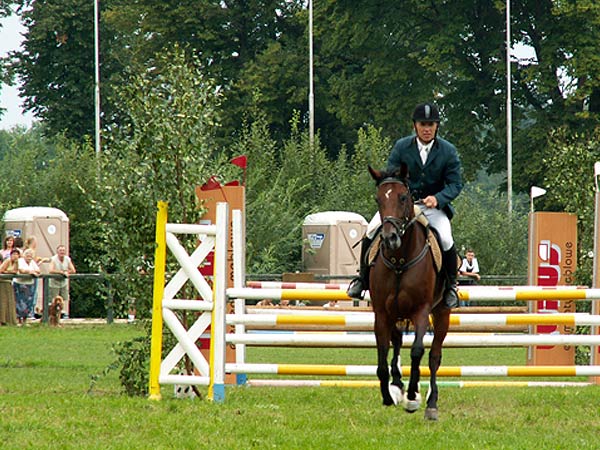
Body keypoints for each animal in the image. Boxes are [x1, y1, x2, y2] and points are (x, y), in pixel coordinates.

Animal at [368, 163, 448, 420]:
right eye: (378, 199)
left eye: (403, 197)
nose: (389, 238)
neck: (400, 259)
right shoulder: (382, 313)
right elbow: (383, 356)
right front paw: (388, 394)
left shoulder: (421, 310)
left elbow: (417, 351)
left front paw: (412, 397)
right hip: (395, 314)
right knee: (395, 343)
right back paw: (397, 386)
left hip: (442, 313)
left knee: (434, 356)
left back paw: (431, 402)